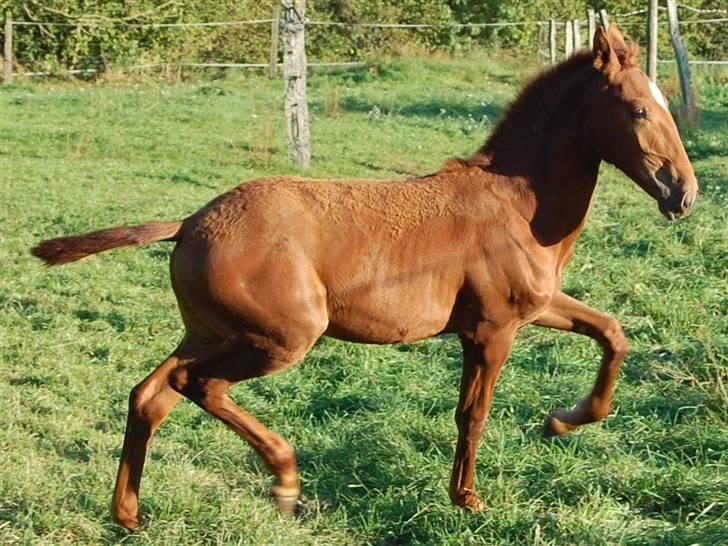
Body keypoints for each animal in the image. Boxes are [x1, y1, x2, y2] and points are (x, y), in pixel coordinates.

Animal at [32, 26, 697, 531]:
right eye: (639, 109)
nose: (683, 194)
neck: (514, 206)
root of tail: (191, 222)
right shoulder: (491, 330)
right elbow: (472, 413)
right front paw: (468, 499)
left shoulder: (536, 306)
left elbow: (613, 334)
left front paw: (563, 420)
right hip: (282, 338)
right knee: (198, 385)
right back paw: (284, 480)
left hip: (212, 332)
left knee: (150, 395)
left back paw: (128, 514)